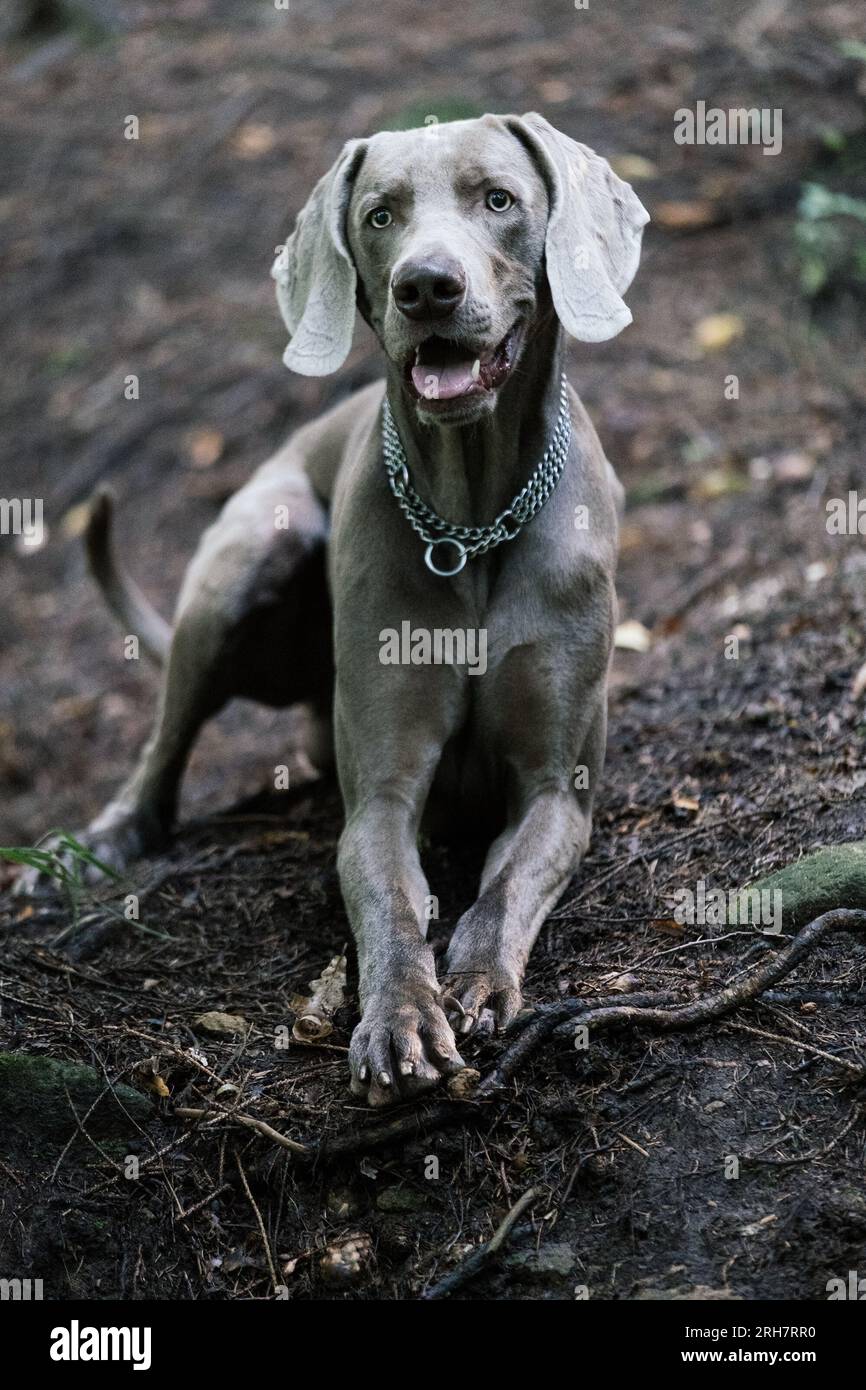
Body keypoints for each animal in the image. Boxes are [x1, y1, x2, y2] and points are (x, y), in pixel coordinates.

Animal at [22, 111, 650, 1106]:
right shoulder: (382, 797)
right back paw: (102, 842)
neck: (471, 523)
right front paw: (400, 1018)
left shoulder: (560, 789)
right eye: (380, 215)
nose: (426, 285)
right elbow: (389, 898)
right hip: (252, 552)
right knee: (164, 744)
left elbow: (504, 890)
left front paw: (476, 982)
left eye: (498, 200)